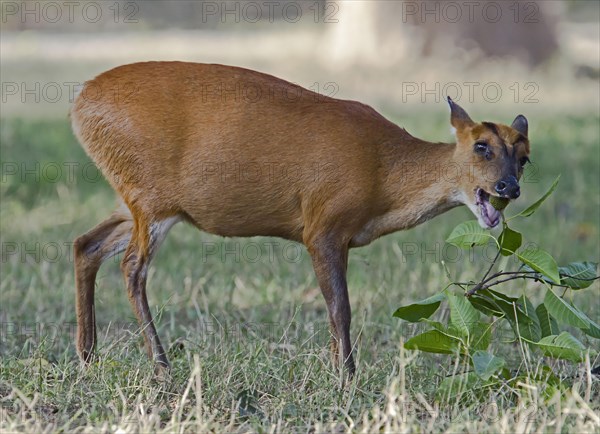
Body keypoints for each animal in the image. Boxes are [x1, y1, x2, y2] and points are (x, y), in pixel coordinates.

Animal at [71, 62, 528, 376]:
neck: (382, 173)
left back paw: (88, 357)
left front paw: (339, 370)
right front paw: (347, 378)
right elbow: (340, 307)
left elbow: (336, 308)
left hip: (135, 199)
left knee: (85, 244)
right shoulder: (323, 223)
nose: (509, 188)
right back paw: (161, 366)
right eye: (481, 146)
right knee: (131, 267)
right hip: (151, 197)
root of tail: (80, 104)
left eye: (524, 157)